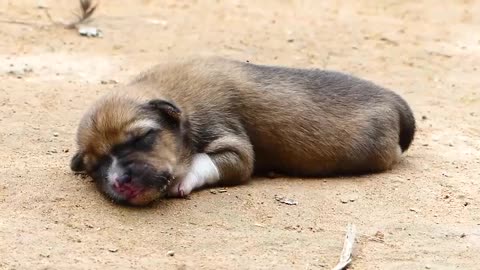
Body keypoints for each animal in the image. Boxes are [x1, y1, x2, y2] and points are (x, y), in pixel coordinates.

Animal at [68, 56, 416, 205]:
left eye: (143, 137)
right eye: (95, 167)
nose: (120, 182)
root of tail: (392, 98)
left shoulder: (234, 145)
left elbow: (203, 160)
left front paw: (181, 179)